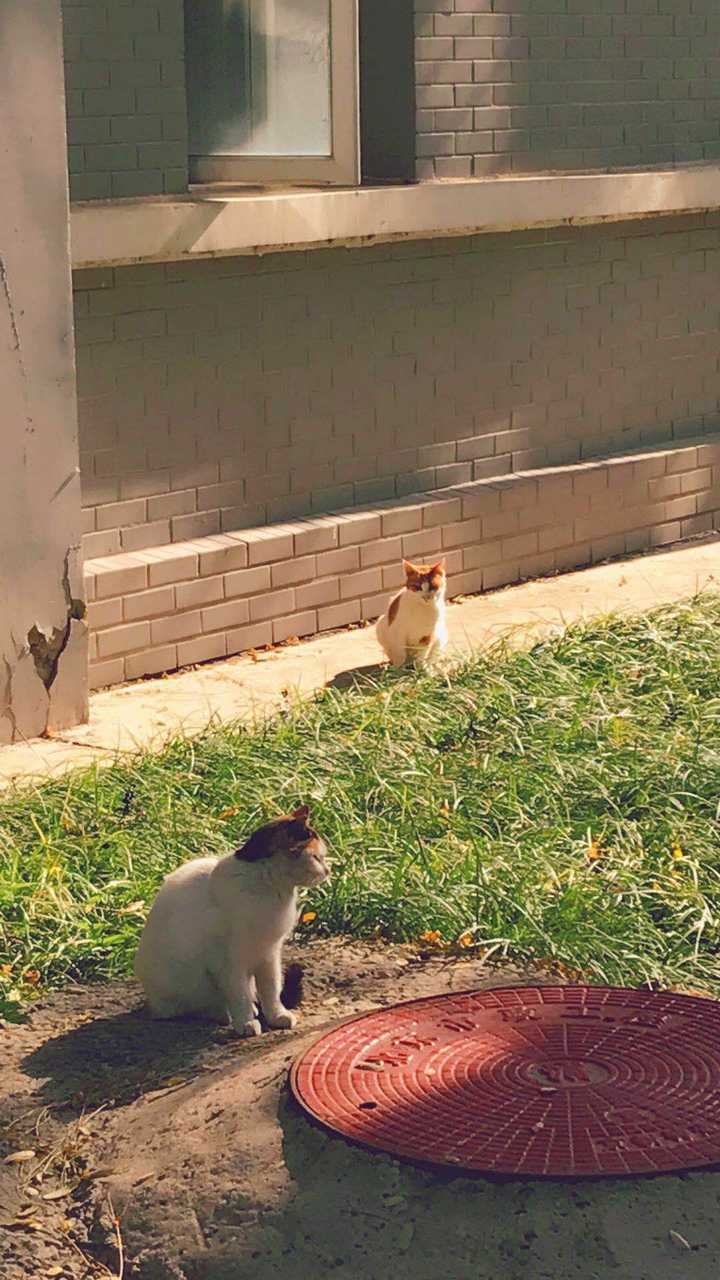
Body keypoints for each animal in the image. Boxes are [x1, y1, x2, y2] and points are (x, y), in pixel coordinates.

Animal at [133, 808, 326, 1039]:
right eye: (317, 858)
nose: (328, 871)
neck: (267, 886)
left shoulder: (269, 953)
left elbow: (271, 990)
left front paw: (277, 1017)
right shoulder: (230, 962)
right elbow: (240, 995)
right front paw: (246, 1023)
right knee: (195, 1008)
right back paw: (224, 1014)